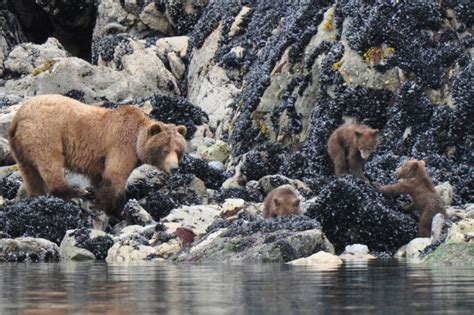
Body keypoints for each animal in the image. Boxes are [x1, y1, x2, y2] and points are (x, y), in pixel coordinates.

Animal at [8, 95, 187, 216]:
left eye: (178, 150)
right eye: (164, 149)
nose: (175, 168)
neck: (136, 139)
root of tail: (18, 115)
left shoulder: (99, 159)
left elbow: (100, 178)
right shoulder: (120, 145)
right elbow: (114, 176)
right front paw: (112, 207)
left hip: (19, 146)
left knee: (29, 173)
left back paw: (36, 195)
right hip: (45, 132)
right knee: (51, 163)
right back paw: (75, 193)